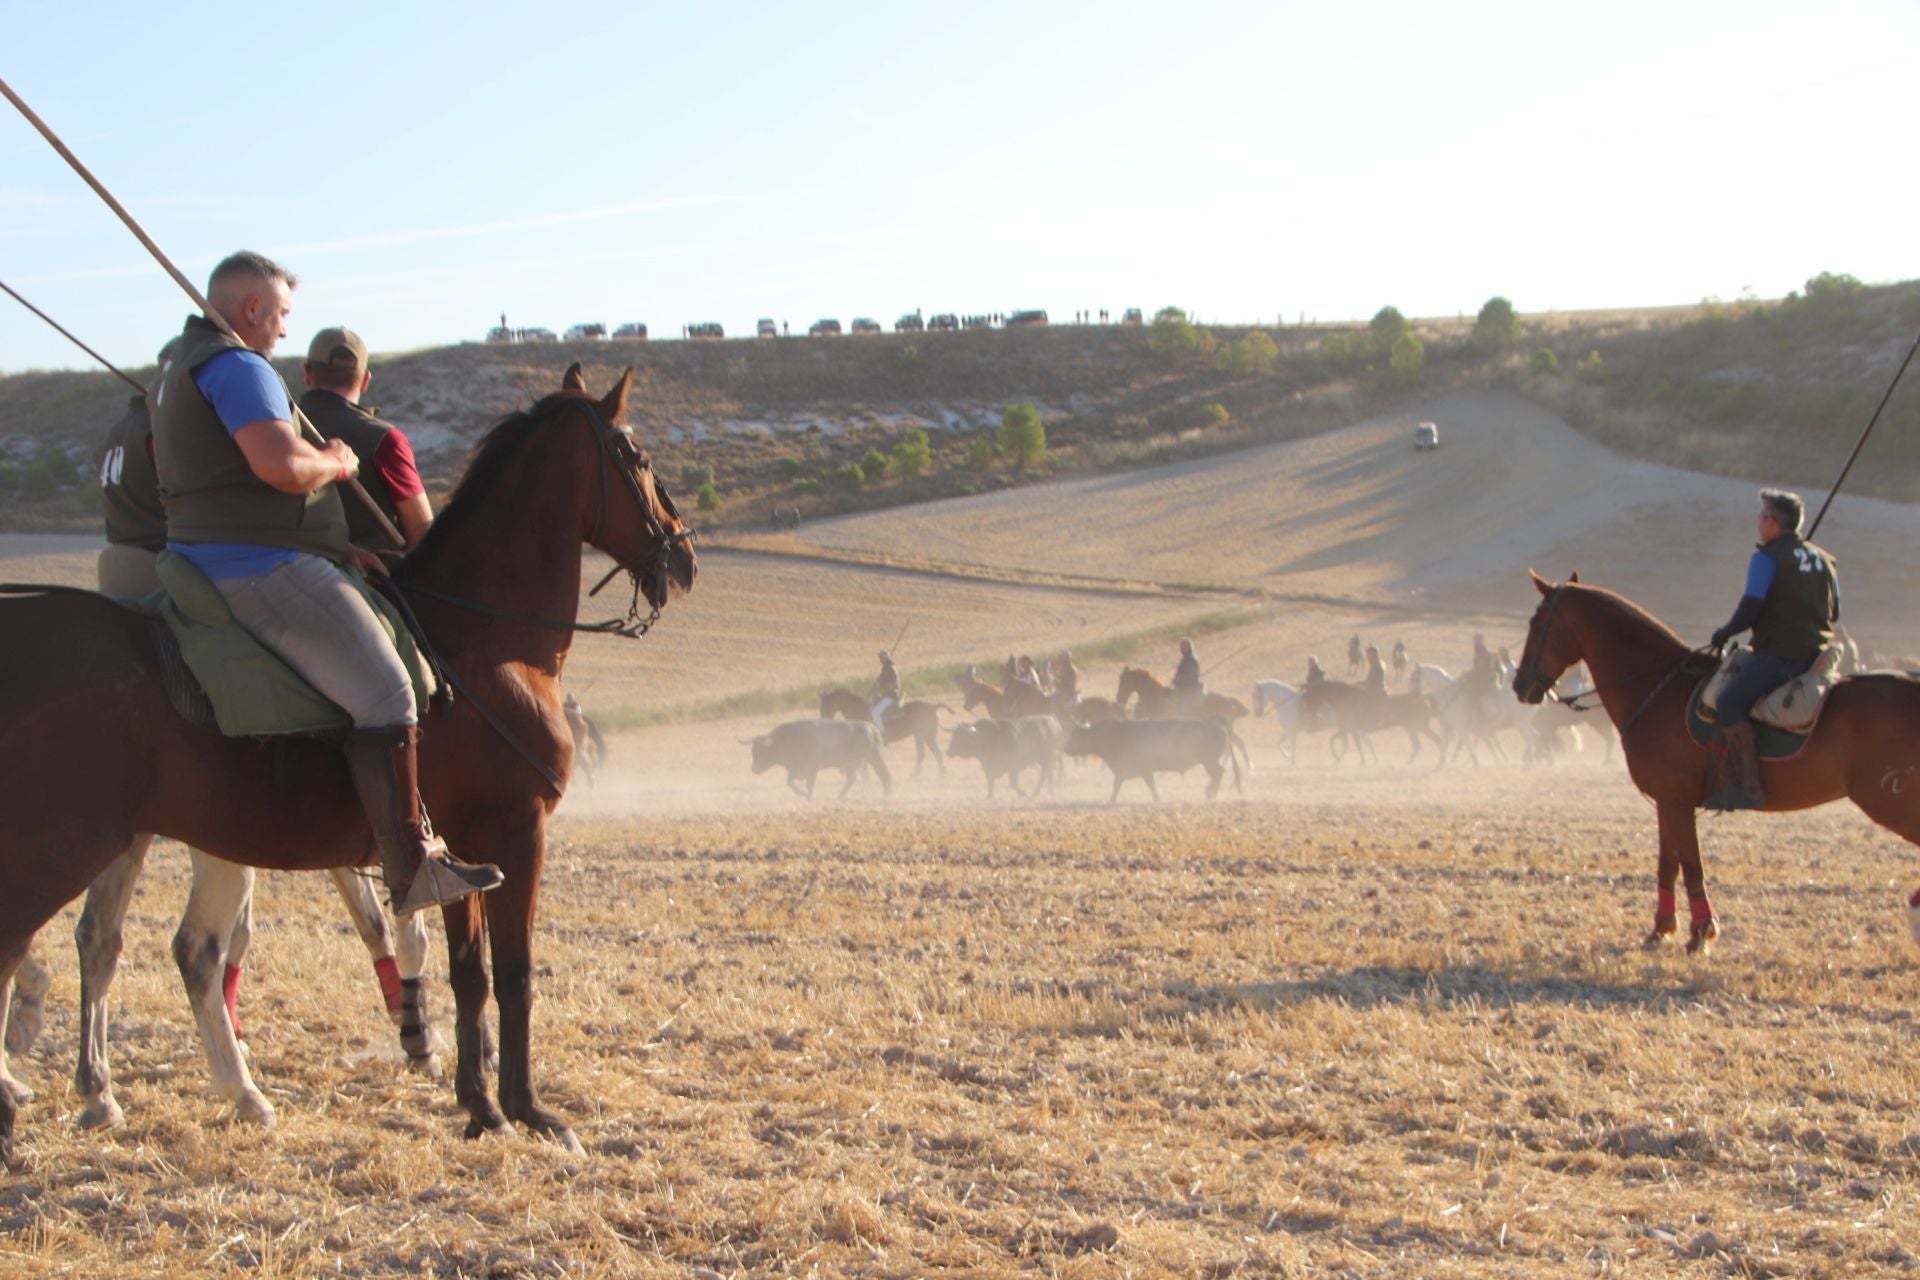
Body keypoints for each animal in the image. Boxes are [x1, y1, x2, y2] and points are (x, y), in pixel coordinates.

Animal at [0, 364, 698, 1166]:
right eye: (637, 456)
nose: (684, 555)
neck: (485, 642)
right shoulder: (515, 834)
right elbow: (515, 973)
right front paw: (530, 1110)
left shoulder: (459, 855)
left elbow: (468, 973)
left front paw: (479, 1107)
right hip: (65, 845)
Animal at [817, 687, 952, 775]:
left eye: (825, 705)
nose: (823, 721)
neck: (858, 709)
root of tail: (932, 706)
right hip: (921, 737)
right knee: (926, 755)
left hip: (926, 737)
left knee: (934, 755)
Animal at [1512, 575, 1920, 955]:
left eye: (1537, 621)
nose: (1519, 684)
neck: (1659, 688)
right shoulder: (1668, 802)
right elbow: (1668, 862)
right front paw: (1662, 928)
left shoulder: (1675, 802)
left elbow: (1691, 864)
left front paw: (1700, 932)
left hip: (1890, 802)